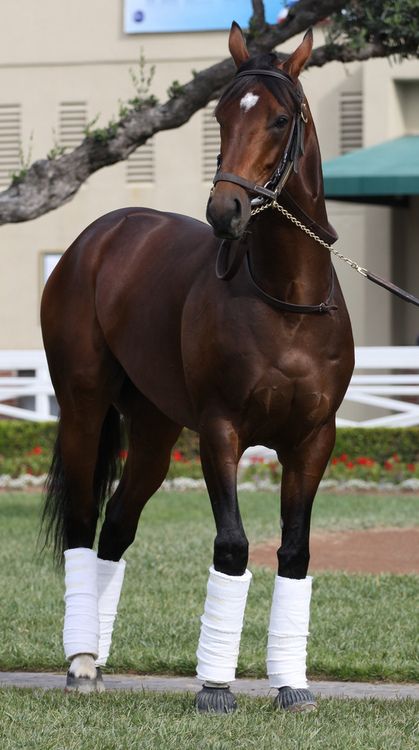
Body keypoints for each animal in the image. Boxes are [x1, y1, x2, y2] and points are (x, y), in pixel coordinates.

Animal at [41, 22, 354, 716]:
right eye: (219, 115)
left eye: (280, 119)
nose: (225, 212)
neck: (286, 302)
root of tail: (98, 237)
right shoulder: (220, 431)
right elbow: (233, 545)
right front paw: (214, 686)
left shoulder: (313, 439)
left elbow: (295, 549)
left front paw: (291, 685)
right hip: (82, 406)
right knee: (83, 521)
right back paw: (81, 662)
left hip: (155, 430)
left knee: (117, 527)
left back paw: (97, 657)